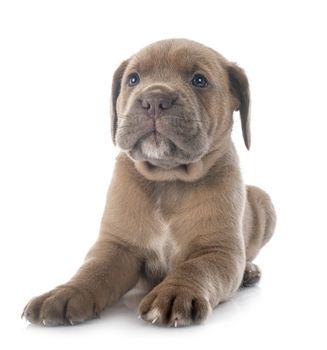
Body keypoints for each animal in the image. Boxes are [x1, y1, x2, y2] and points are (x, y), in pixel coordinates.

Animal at [23, 39, 276, 328]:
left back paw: (249, 271)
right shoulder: (117, 247)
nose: (154, 99)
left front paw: (175, 293)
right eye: (133, 79)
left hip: (263, 200)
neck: (168, 179)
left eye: (199, 80)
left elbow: (196, 267)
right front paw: (65, 293)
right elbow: (93, 270)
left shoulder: (217, 251)